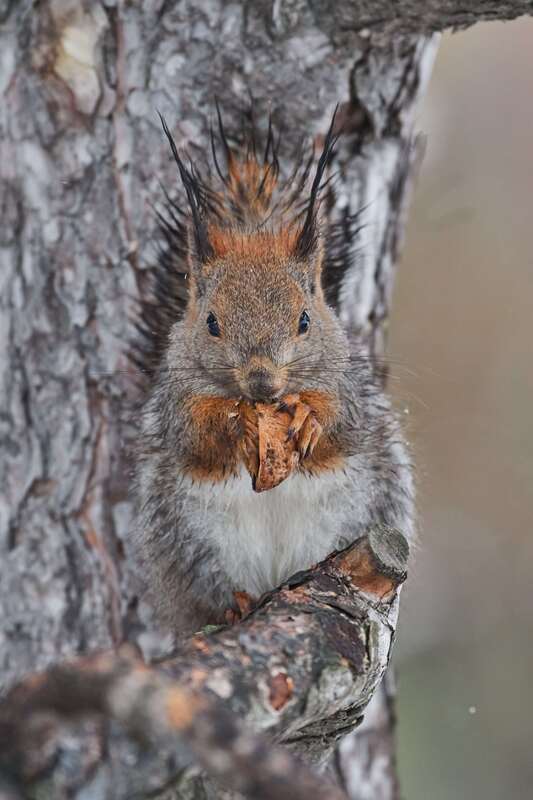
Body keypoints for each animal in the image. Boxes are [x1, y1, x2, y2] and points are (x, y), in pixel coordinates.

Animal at [133, 107, 414, 635]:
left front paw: (307, 416)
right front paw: (235, 422)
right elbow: (195, 436)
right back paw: (237, 604)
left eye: (305, 319)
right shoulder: (173, 400)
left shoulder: (351, 389)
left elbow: (340, 423)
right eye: (211, 323)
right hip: (193, 544)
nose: (262, 382)